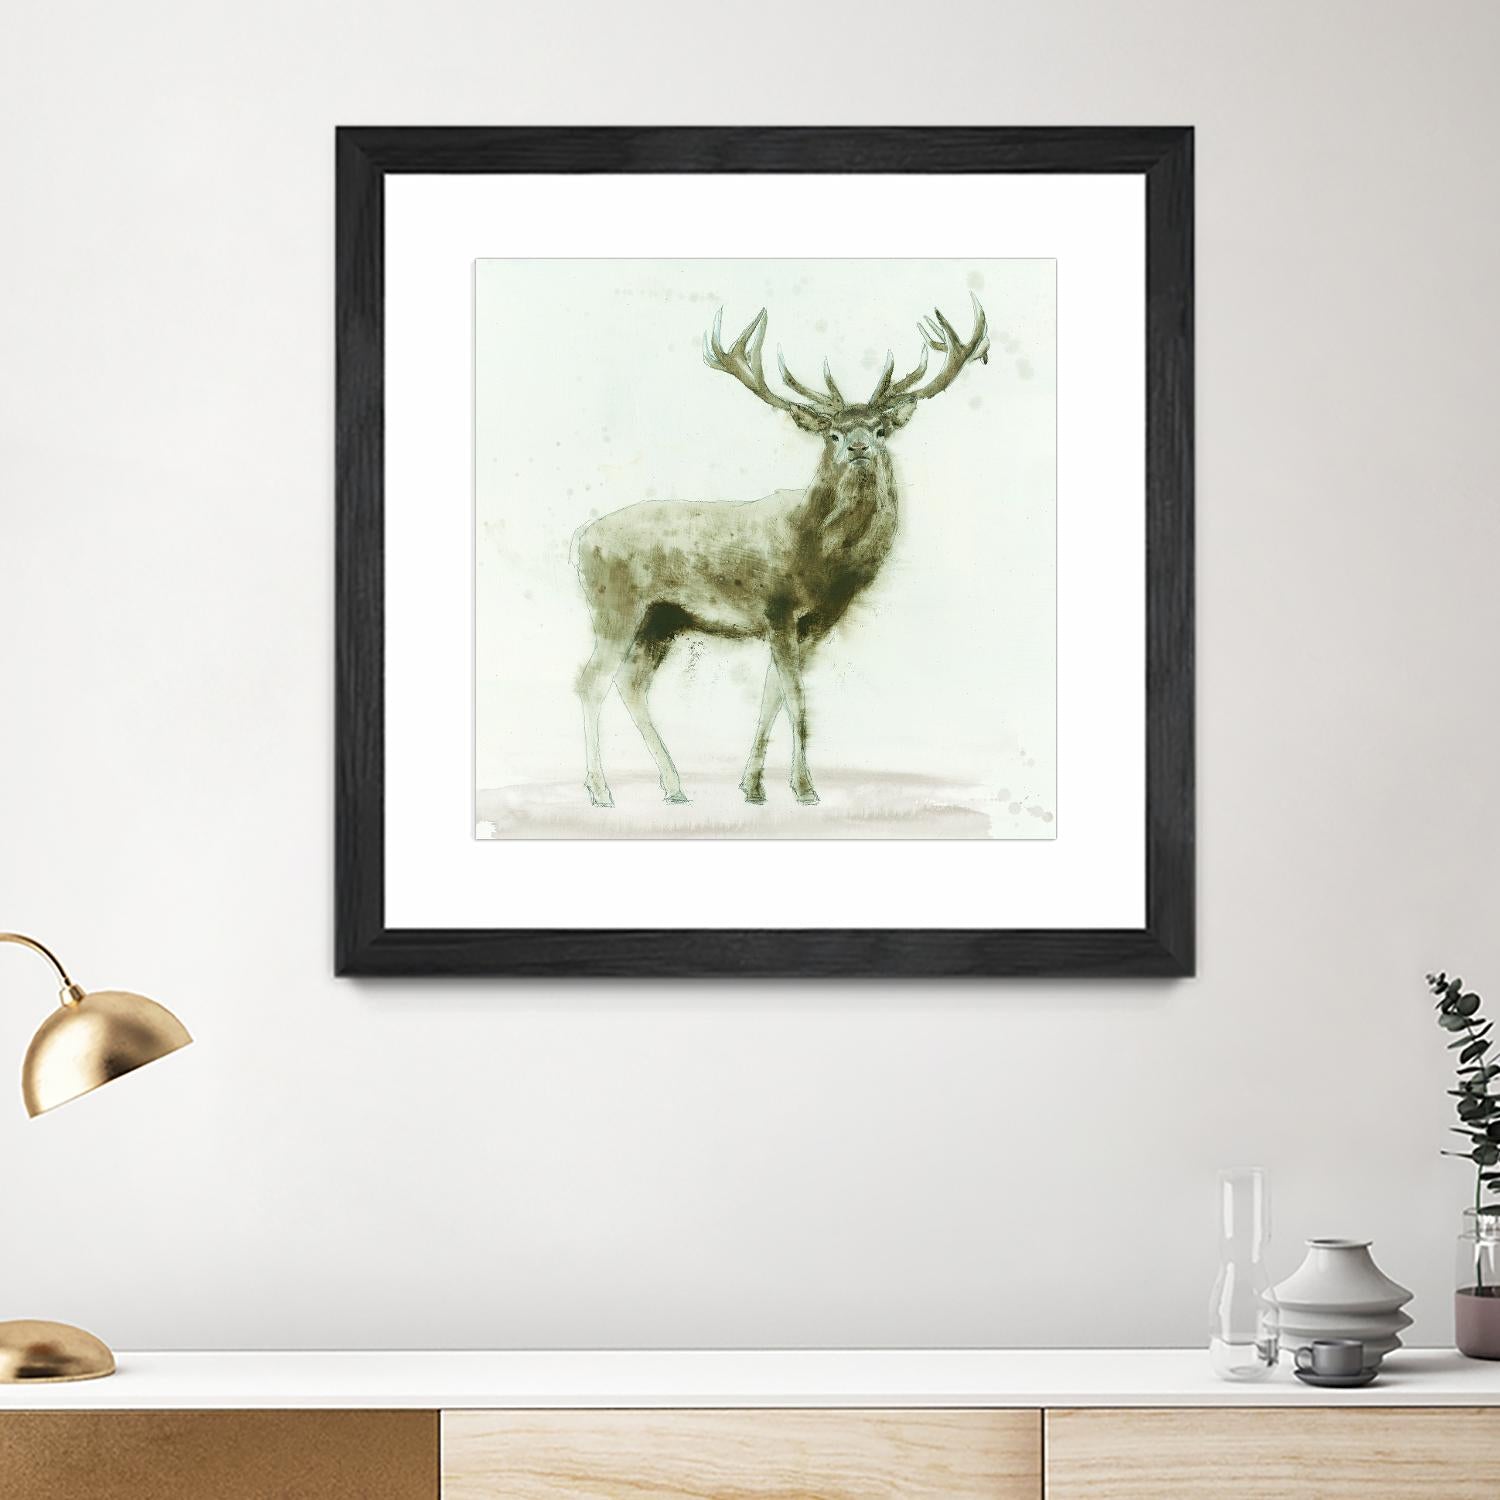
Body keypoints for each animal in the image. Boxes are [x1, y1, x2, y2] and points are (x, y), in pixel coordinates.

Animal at [571, 294, 989, 809]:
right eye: (832, 433)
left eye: (879, 430)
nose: (858, 448)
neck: (820, 558)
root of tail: (580, 540)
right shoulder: (777, 608)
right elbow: (797, 699)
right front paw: (806, 789)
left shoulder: (813, 623)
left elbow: (772, 695)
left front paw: (753, 786)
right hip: (615, 605)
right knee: (590, 682)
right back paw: (601, 791)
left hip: (662, 619)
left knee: (630, 684)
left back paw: (674, 786)